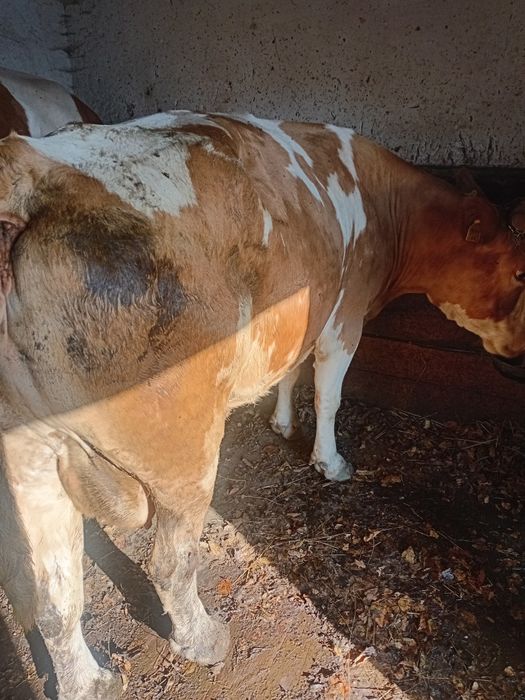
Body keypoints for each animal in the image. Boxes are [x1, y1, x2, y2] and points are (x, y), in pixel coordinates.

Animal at [0, 111, 523, 699]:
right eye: (521, 272)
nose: (519, 352)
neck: (384, 207)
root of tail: (29, 171)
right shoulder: (344, 312)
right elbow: (329, 391)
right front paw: (330, 462)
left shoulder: (304, 310)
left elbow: (291, 372)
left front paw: (281, 422)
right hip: (181, 444)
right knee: (169, 561)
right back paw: (204, 641)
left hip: (29, 456)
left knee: (53, 597)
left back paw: (88, 682)